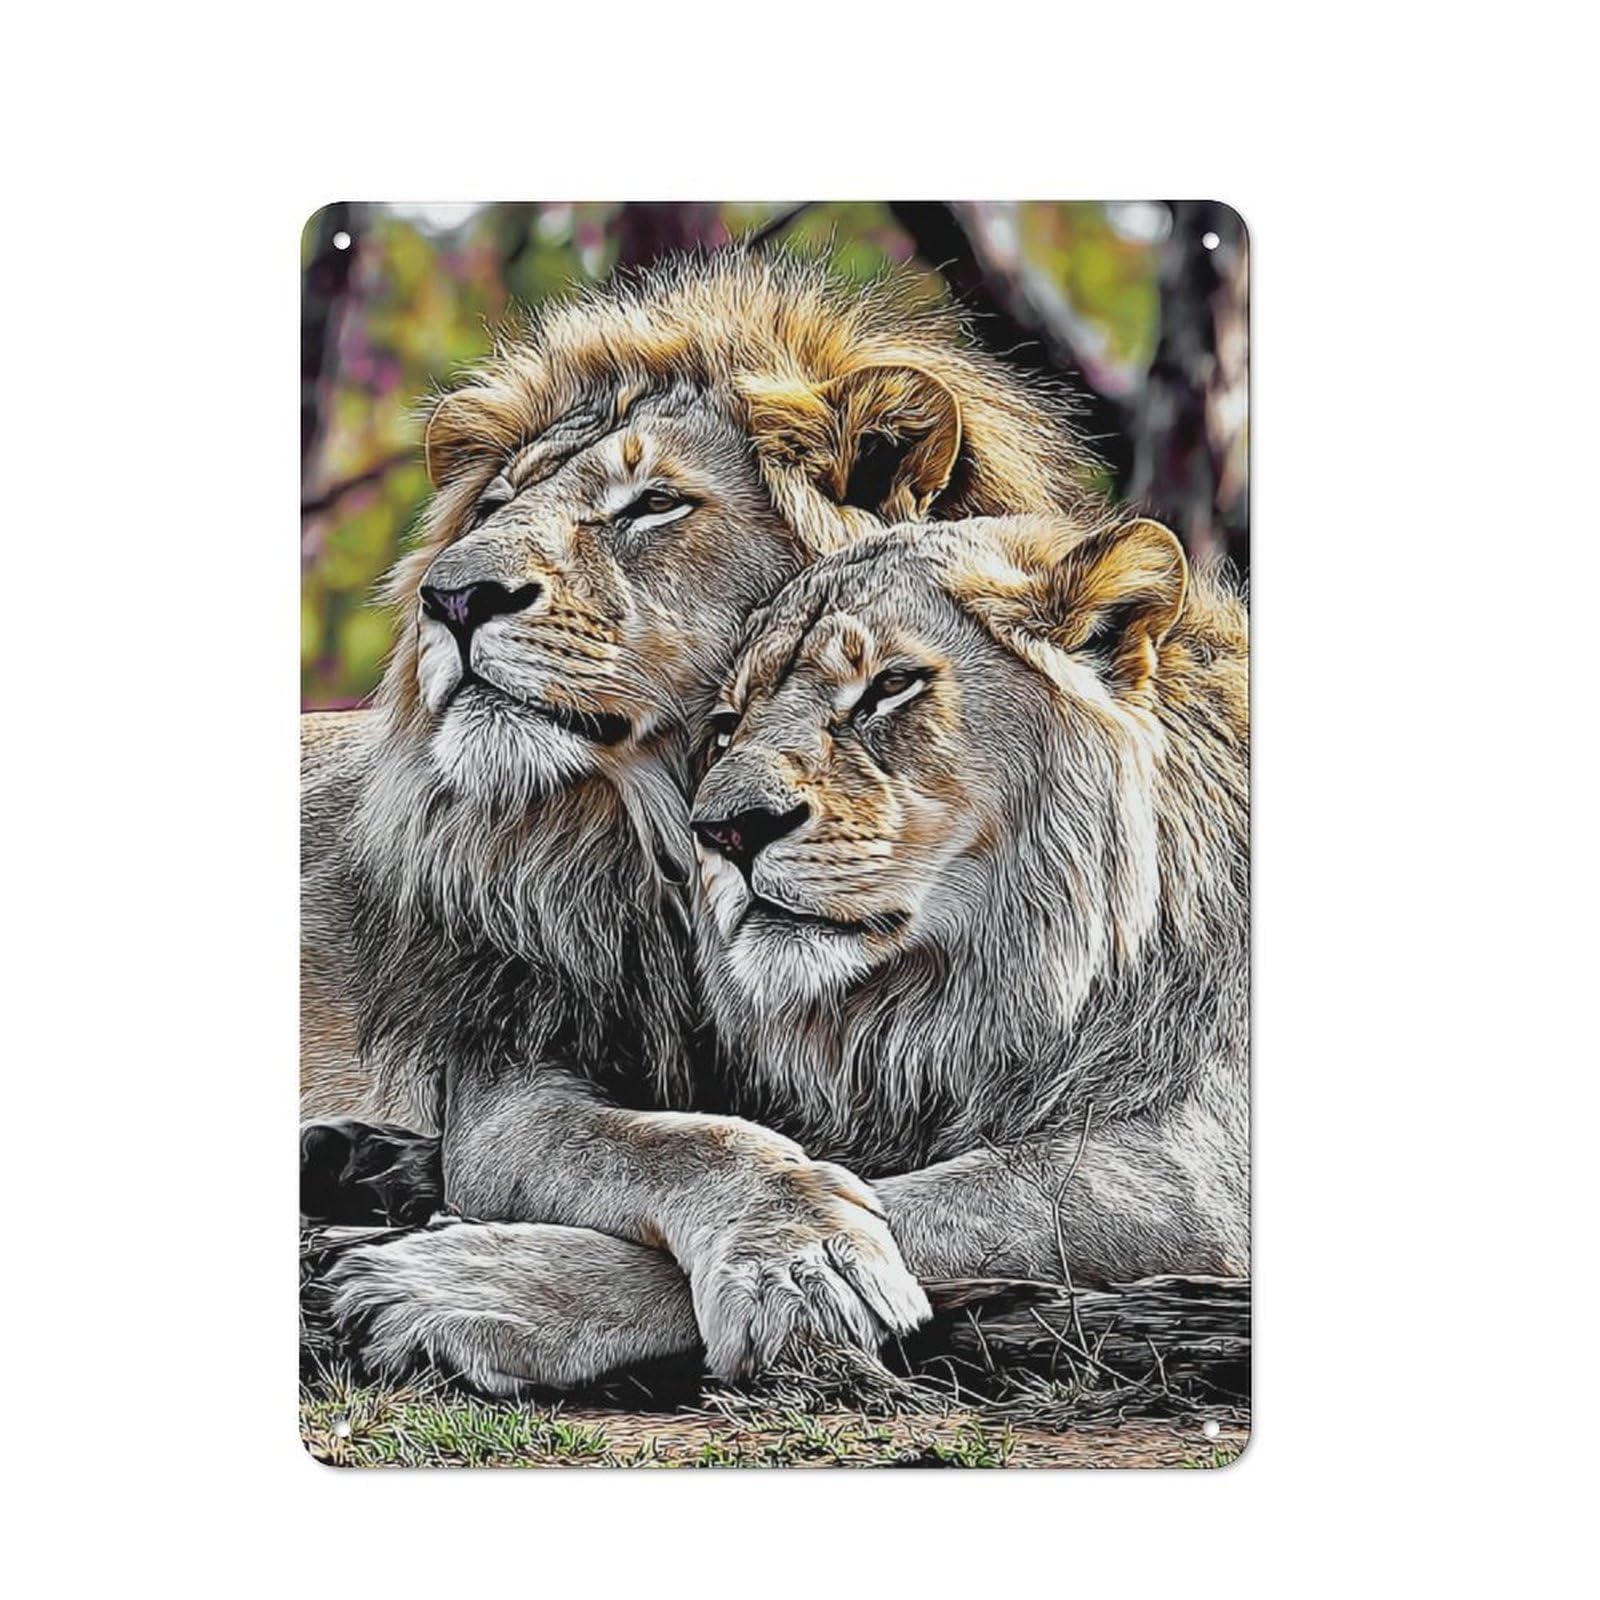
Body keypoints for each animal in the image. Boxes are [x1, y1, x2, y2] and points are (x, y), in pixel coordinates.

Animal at [303, 250, 1108, 1380]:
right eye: (489, 506)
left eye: (650, 506)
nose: (451, 600)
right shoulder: (511, 1078)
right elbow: (684, 1138)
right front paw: (804, 1253)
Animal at [322, 512, 1248, 1396]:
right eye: (727, 726)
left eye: (890, 687)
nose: (725, 831)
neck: (931, 1009)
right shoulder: (522, 1080)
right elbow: (691, 1143)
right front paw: (796, 1243)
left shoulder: (1193, 1168)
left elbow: (927, 1202)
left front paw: (470, 1288)